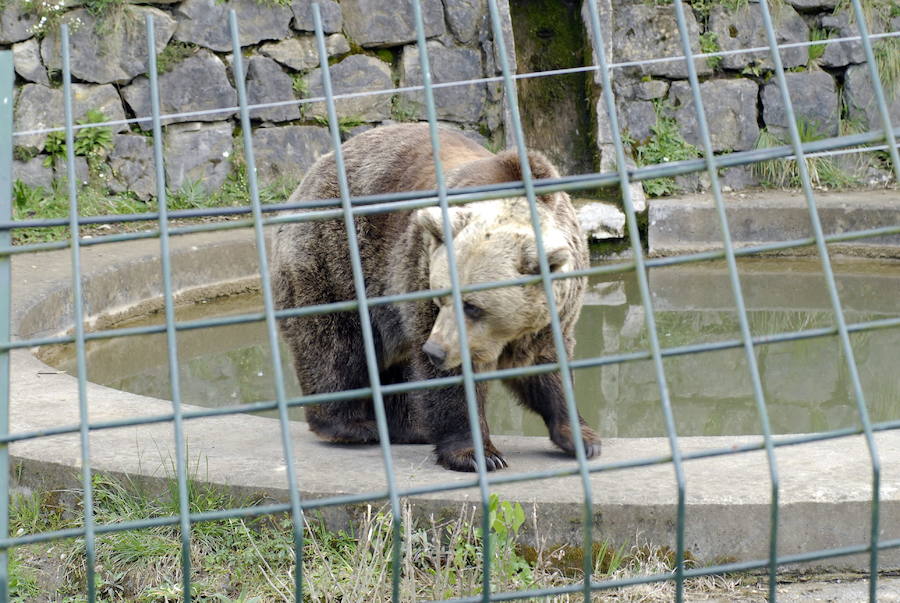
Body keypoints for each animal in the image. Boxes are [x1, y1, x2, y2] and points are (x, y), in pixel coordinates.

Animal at [272, 122, 596, 472]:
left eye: (473, 306)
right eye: (441, 299)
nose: (435, 350)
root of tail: (311, 174)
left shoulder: (554, 312)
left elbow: (547, 366)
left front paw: (581, 437)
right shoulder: (420, 271)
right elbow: (450, 380)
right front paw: (478, 454)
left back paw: (409, 427)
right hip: (334, 257)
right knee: (335, 344)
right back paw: (351, 425)